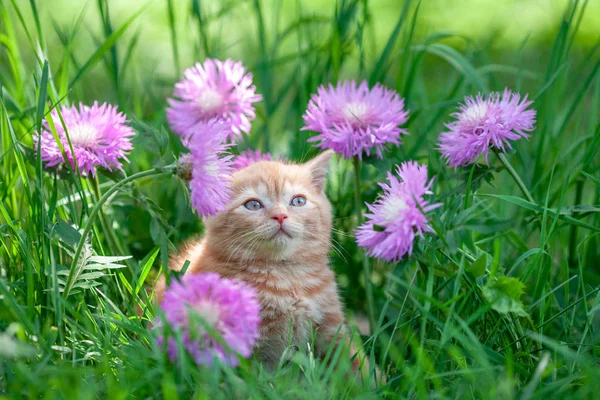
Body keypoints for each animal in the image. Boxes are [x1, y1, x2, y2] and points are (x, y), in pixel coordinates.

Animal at [157, 152, 358, 370]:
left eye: (298, 201)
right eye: (253, 205)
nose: (280, 215)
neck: (285, 277)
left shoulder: (331, 328)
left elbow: (351, 366)